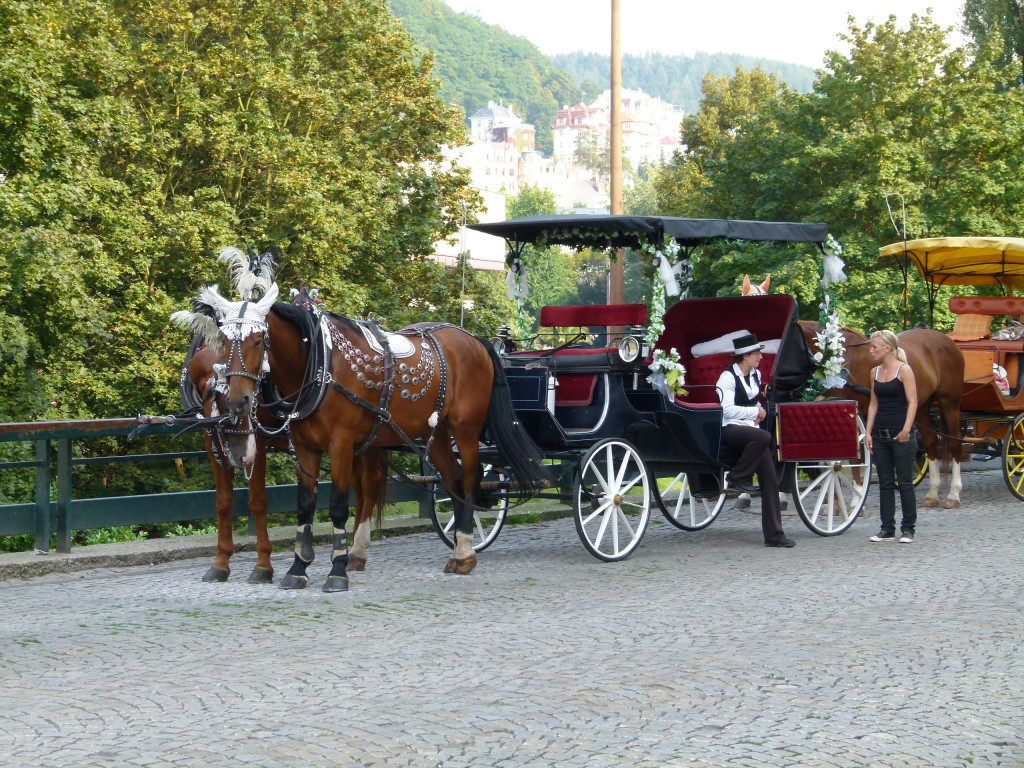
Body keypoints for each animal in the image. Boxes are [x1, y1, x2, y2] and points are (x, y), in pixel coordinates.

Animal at [175, 280, 548, 593]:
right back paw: (448, 549)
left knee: (469, 480)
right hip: (434, 434)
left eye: (258, 340)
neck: (320, 363)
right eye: (224, 340)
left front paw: (335, 571)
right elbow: (303, 505)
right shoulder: (305, 447)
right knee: (448, 481)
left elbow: (337, 506)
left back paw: (464, 553)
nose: (236, 402)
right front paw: (297, 568)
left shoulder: (337, 444)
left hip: (465, 430)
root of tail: (474, 339)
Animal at [798, 319, 958, 507]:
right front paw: (835, 504)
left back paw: (954, 494)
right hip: (920, 406)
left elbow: (855, 458)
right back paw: (932, 494)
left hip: (950, 402)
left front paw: (855, 501)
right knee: (931, 441)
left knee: (955, 443)